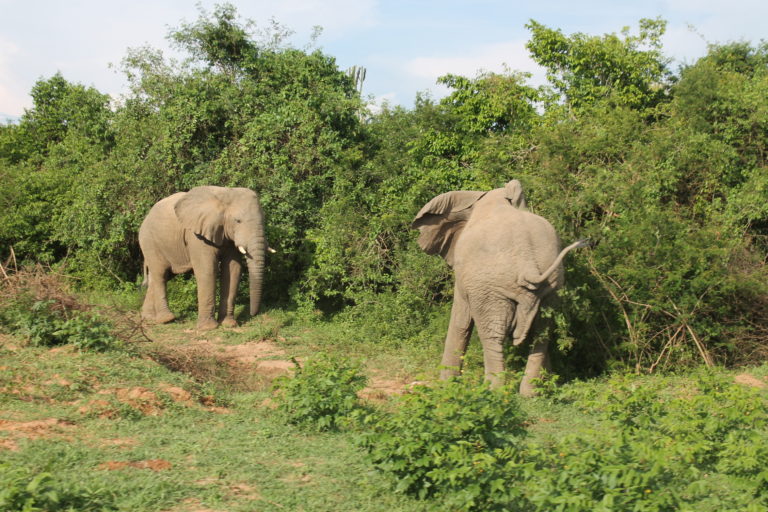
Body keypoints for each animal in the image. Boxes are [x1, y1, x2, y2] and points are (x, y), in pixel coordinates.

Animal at [140, 186, 268, 330]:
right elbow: (207, 269)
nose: (253, 314)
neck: (226, 193)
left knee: (160, 277)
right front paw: (209, 328)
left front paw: (229, 325)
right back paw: (167, 319)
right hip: (149, 242)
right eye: (238, 221)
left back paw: (149, 318)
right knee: (160, 274)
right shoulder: (196, 235)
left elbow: (233, 270)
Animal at [414, 179, 588, 396]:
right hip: (552, 287)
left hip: (490, 289)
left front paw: (445, 387)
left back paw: (493, 391)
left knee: (492, 334)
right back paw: (531, 393)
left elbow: (461, 318)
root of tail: (528, 265)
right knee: (542, 333)